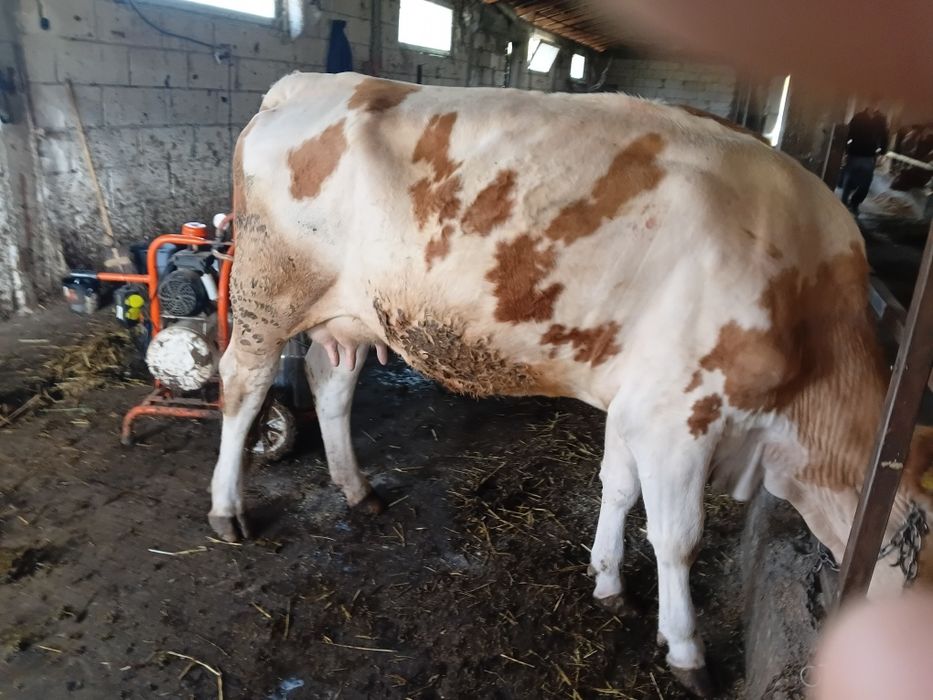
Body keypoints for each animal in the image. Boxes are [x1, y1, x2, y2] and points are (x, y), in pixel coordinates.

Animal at [208, 71, 933, 695]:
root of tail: (313, 83)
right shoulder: (680, 419)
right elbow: (677, 538)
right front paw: (686, 650)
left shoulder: (636, 404)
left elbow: (617, 487)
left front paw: (607, 580)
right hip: (268, 294)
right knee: (243, 387)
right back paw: (228, 509)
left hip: (349, 314)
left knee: (330, 382)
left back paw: (356, 490)